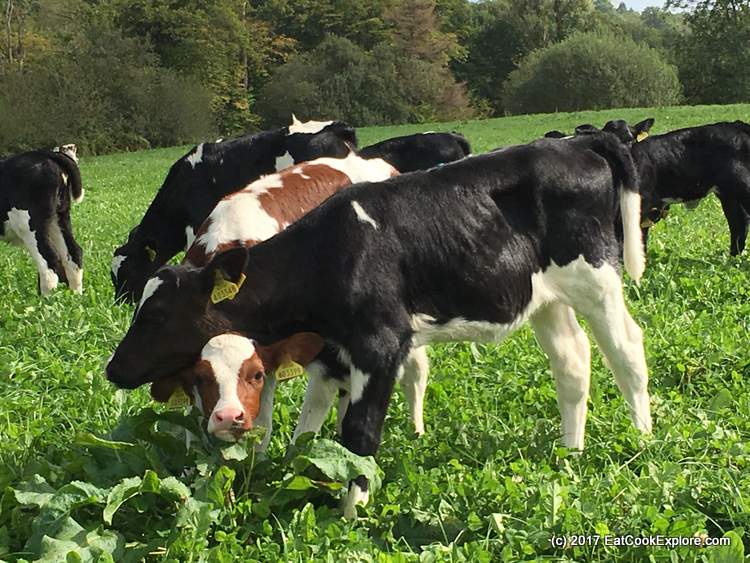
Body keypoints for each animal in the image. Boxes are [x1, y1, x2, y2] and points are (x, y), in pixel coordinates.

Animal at [1, 146, 84, 295]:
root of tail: (42, 154)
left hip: (29, 226)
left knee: (48, 262)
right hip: (59, 219)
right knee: (73, 254)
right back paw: (76, 296)